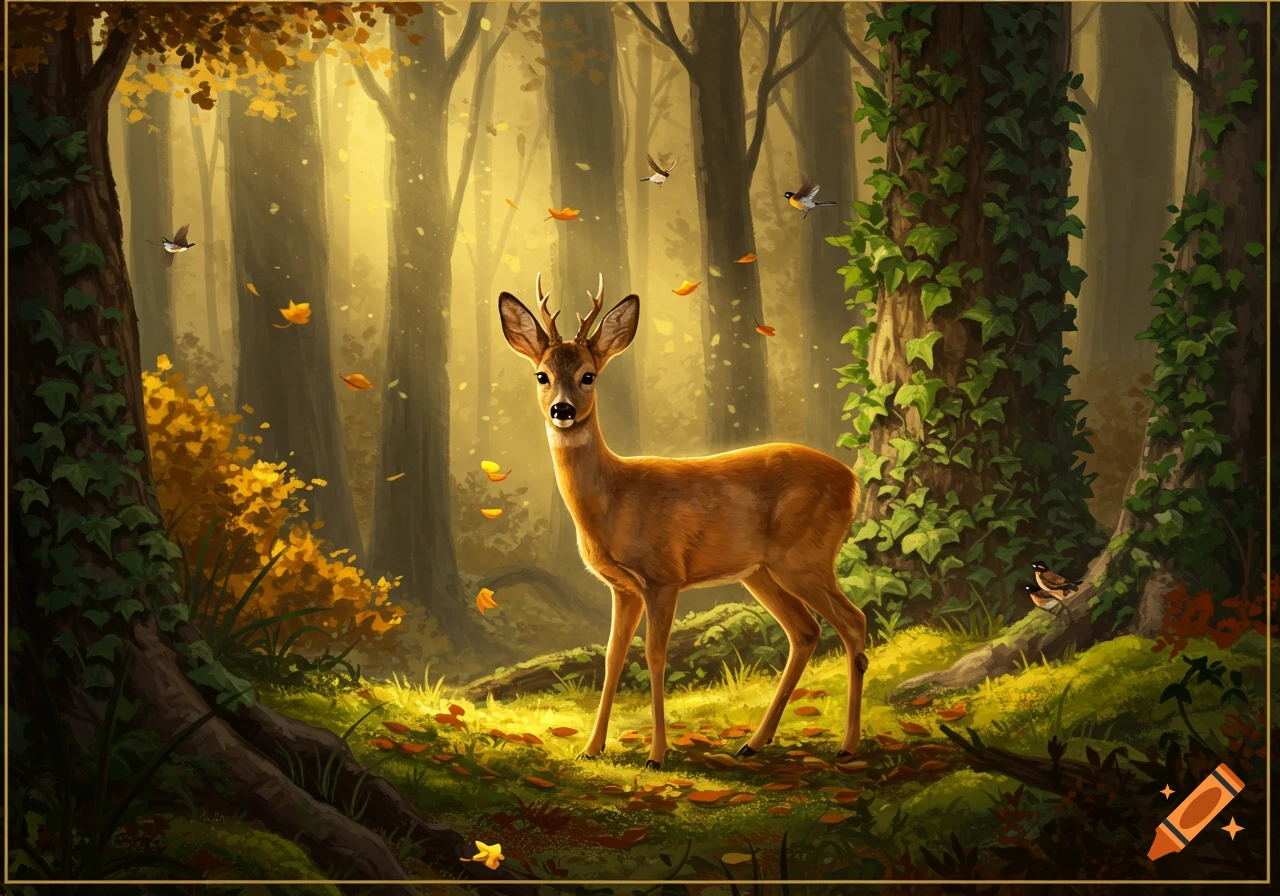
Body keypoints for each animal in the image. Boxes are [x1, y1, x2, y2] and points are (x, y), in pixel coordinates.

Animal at [498, 273, 868, 771]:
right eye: (542, 375)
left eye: (588, 375)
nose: (562, 409)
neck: (614, 500)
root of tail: (853, 481)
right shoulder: (623, 587)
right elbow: (614, 657)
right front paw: (592, 748)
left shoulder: (663, 576)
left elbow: (656, 657)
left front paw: (656, 754)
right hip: (760, 571)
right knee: (806, 631)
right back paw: (753, 742)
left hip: (806, 556)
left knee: (853, 622)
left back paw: (847, 744)